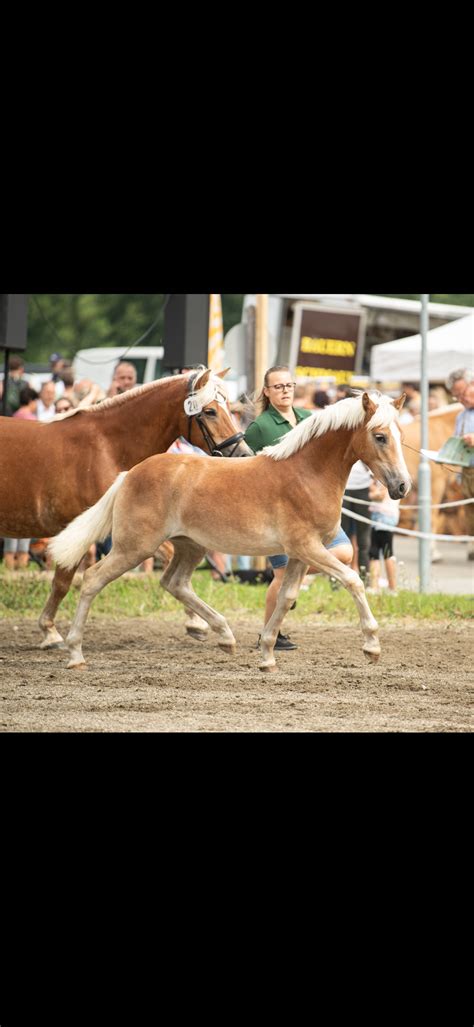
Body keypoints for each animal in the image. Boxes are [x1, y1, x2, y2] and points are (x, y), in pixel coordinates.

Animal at [0, 365, 251, 644]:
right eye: (210, 411)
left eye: (229, 407)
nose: (244, 454)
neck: (106, 446)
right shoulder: (85, 530)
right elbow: (62, 582)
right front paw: (50, 630)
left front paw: (196, 621)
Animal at [48, 386, 410, 673]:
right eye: (380, 436)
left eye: (400, 436)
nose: (402, 486)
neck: (306, 473)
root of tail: (129, 474)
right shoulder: (308, 548)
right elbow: (352, 580)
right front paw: (372, 646)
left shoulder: (300, 554)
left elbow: (286, 596)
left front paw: (267, 655)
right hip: (134, 547)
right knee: (93, 578)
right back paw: (75, 653)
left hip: (190, 546)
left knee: (174, 582)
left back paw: (224, 636)